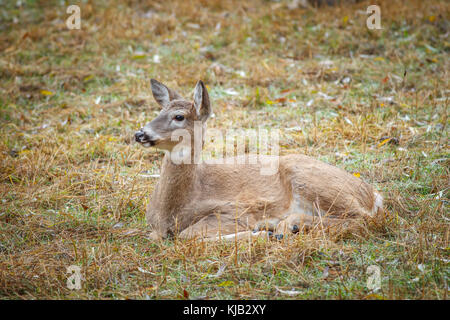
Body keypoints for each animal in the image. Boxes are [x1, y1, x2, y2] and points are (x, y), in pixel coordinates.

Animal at [134, 79, 384, 241]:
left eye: (179, 117)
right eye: (159, 112)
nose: (140, 133)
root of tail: (372, 195)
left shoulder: (237, 210)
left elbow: (187, 235)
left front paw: (259, 233)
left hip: (312, 180)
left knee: (363, 218)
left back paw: (285, 226)